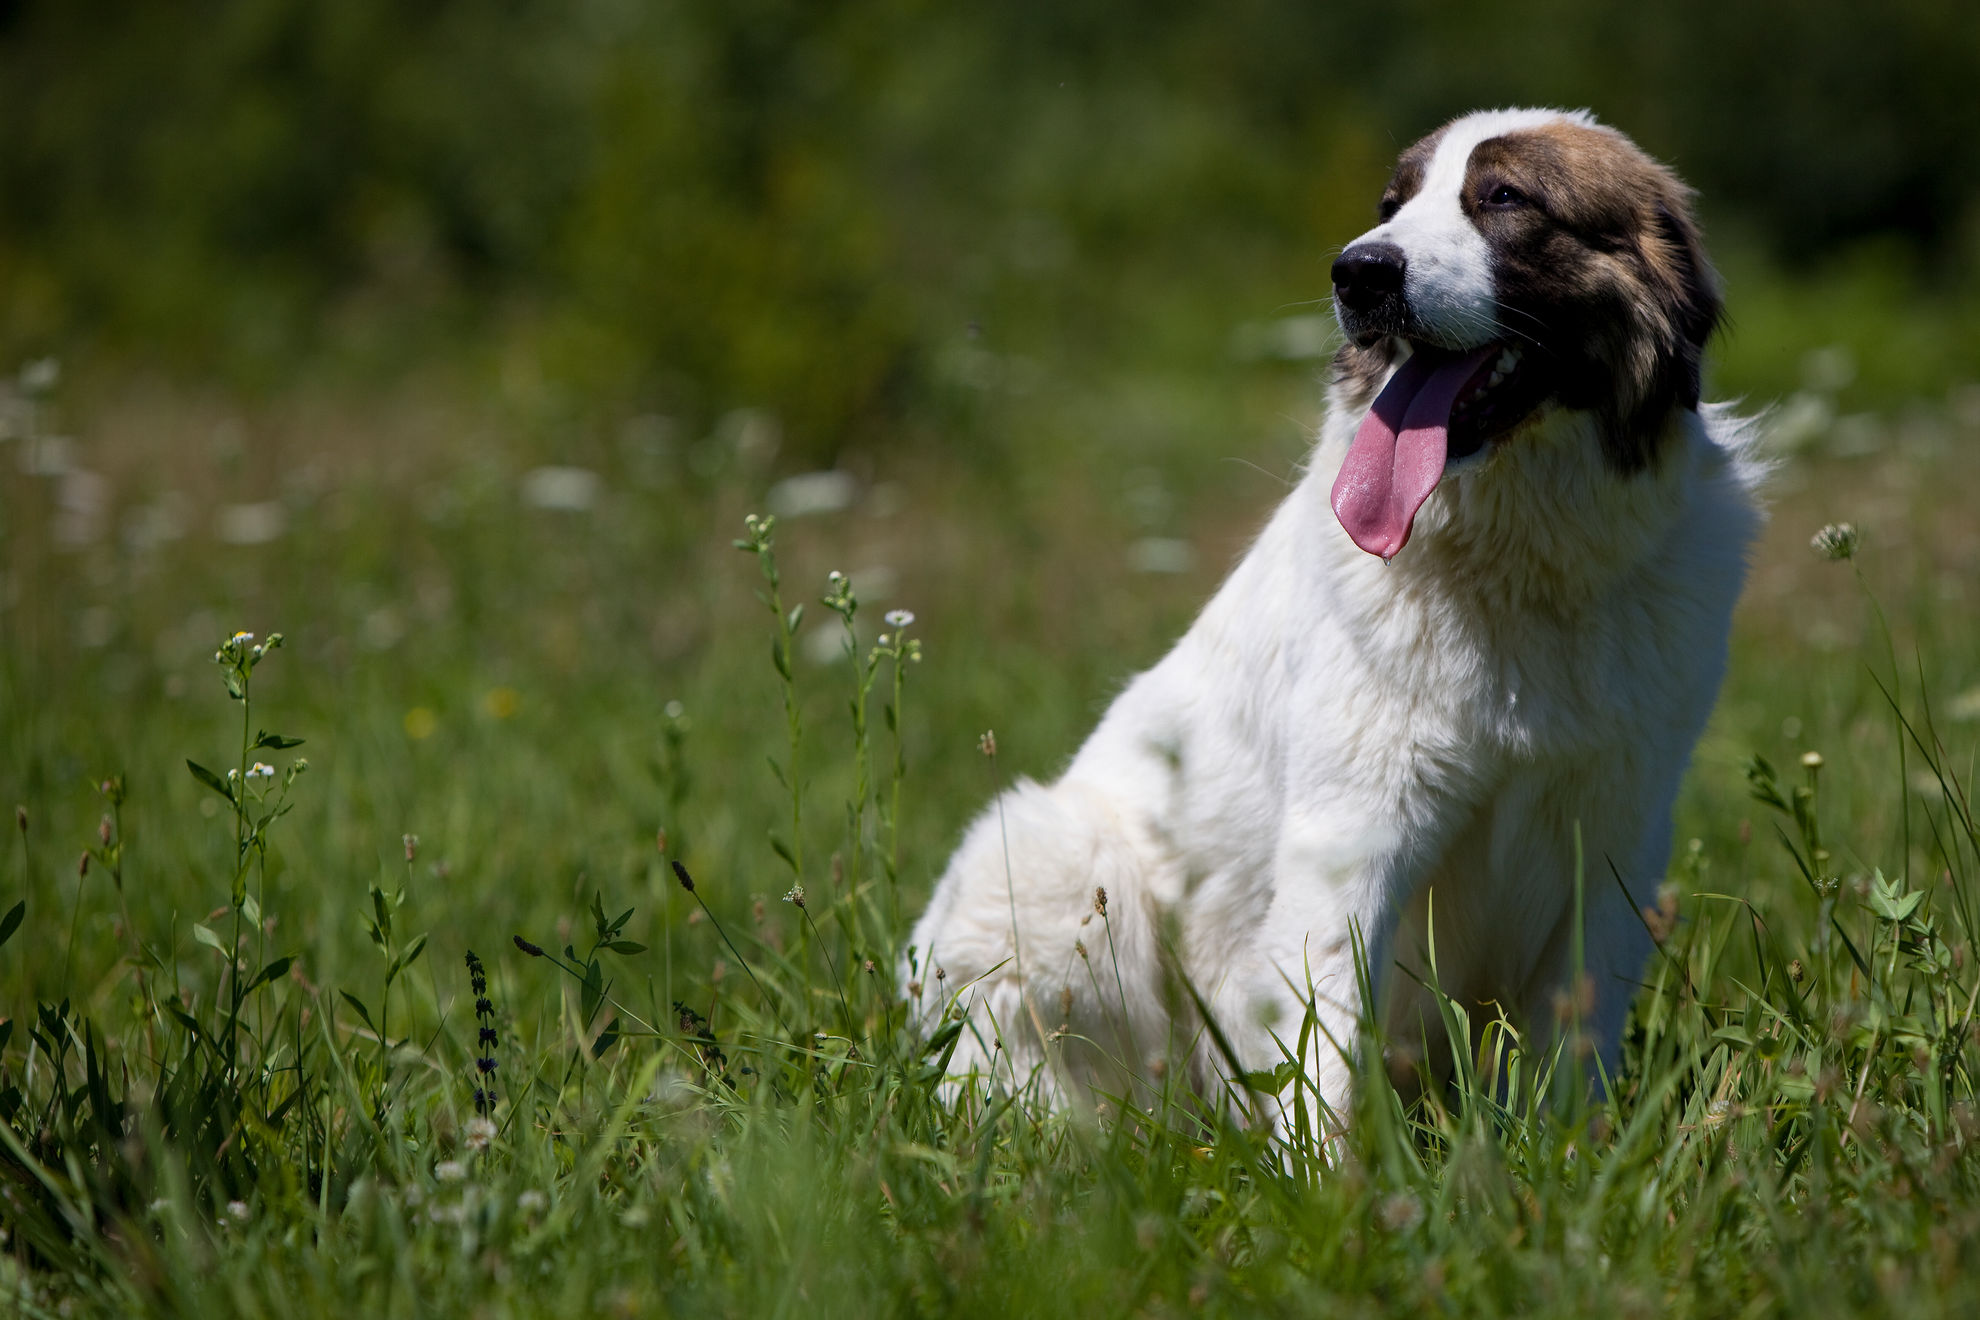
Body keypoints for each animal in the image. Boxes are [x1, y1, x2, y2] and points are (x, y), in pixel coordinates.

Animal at [906, 108, 1766, 1131]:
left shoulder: (1613, 840)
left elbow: (1575, 1040)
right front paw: (1326, 1173)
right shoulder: (1352, 838)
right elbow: (1325, 1044)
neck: (1521, 564)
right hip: (1062, 855)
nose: (1359, 272)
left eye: (1503, 198)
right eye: (1393, 205)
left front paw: (1568, 1155)